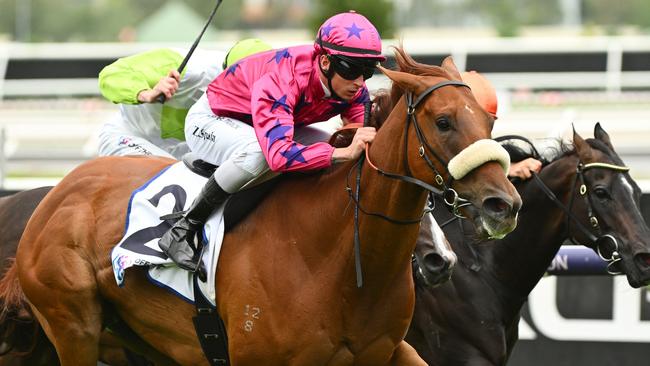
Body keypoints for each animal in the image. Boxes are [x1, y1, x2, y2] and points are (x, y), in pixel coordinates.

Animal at [7, 49, 520, 366]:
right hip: (73, 325)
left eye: (489, 120)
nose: (505, 204)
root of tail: (54, 195)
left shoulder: (385, 351)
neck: (335, 255)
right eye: (444, 121)